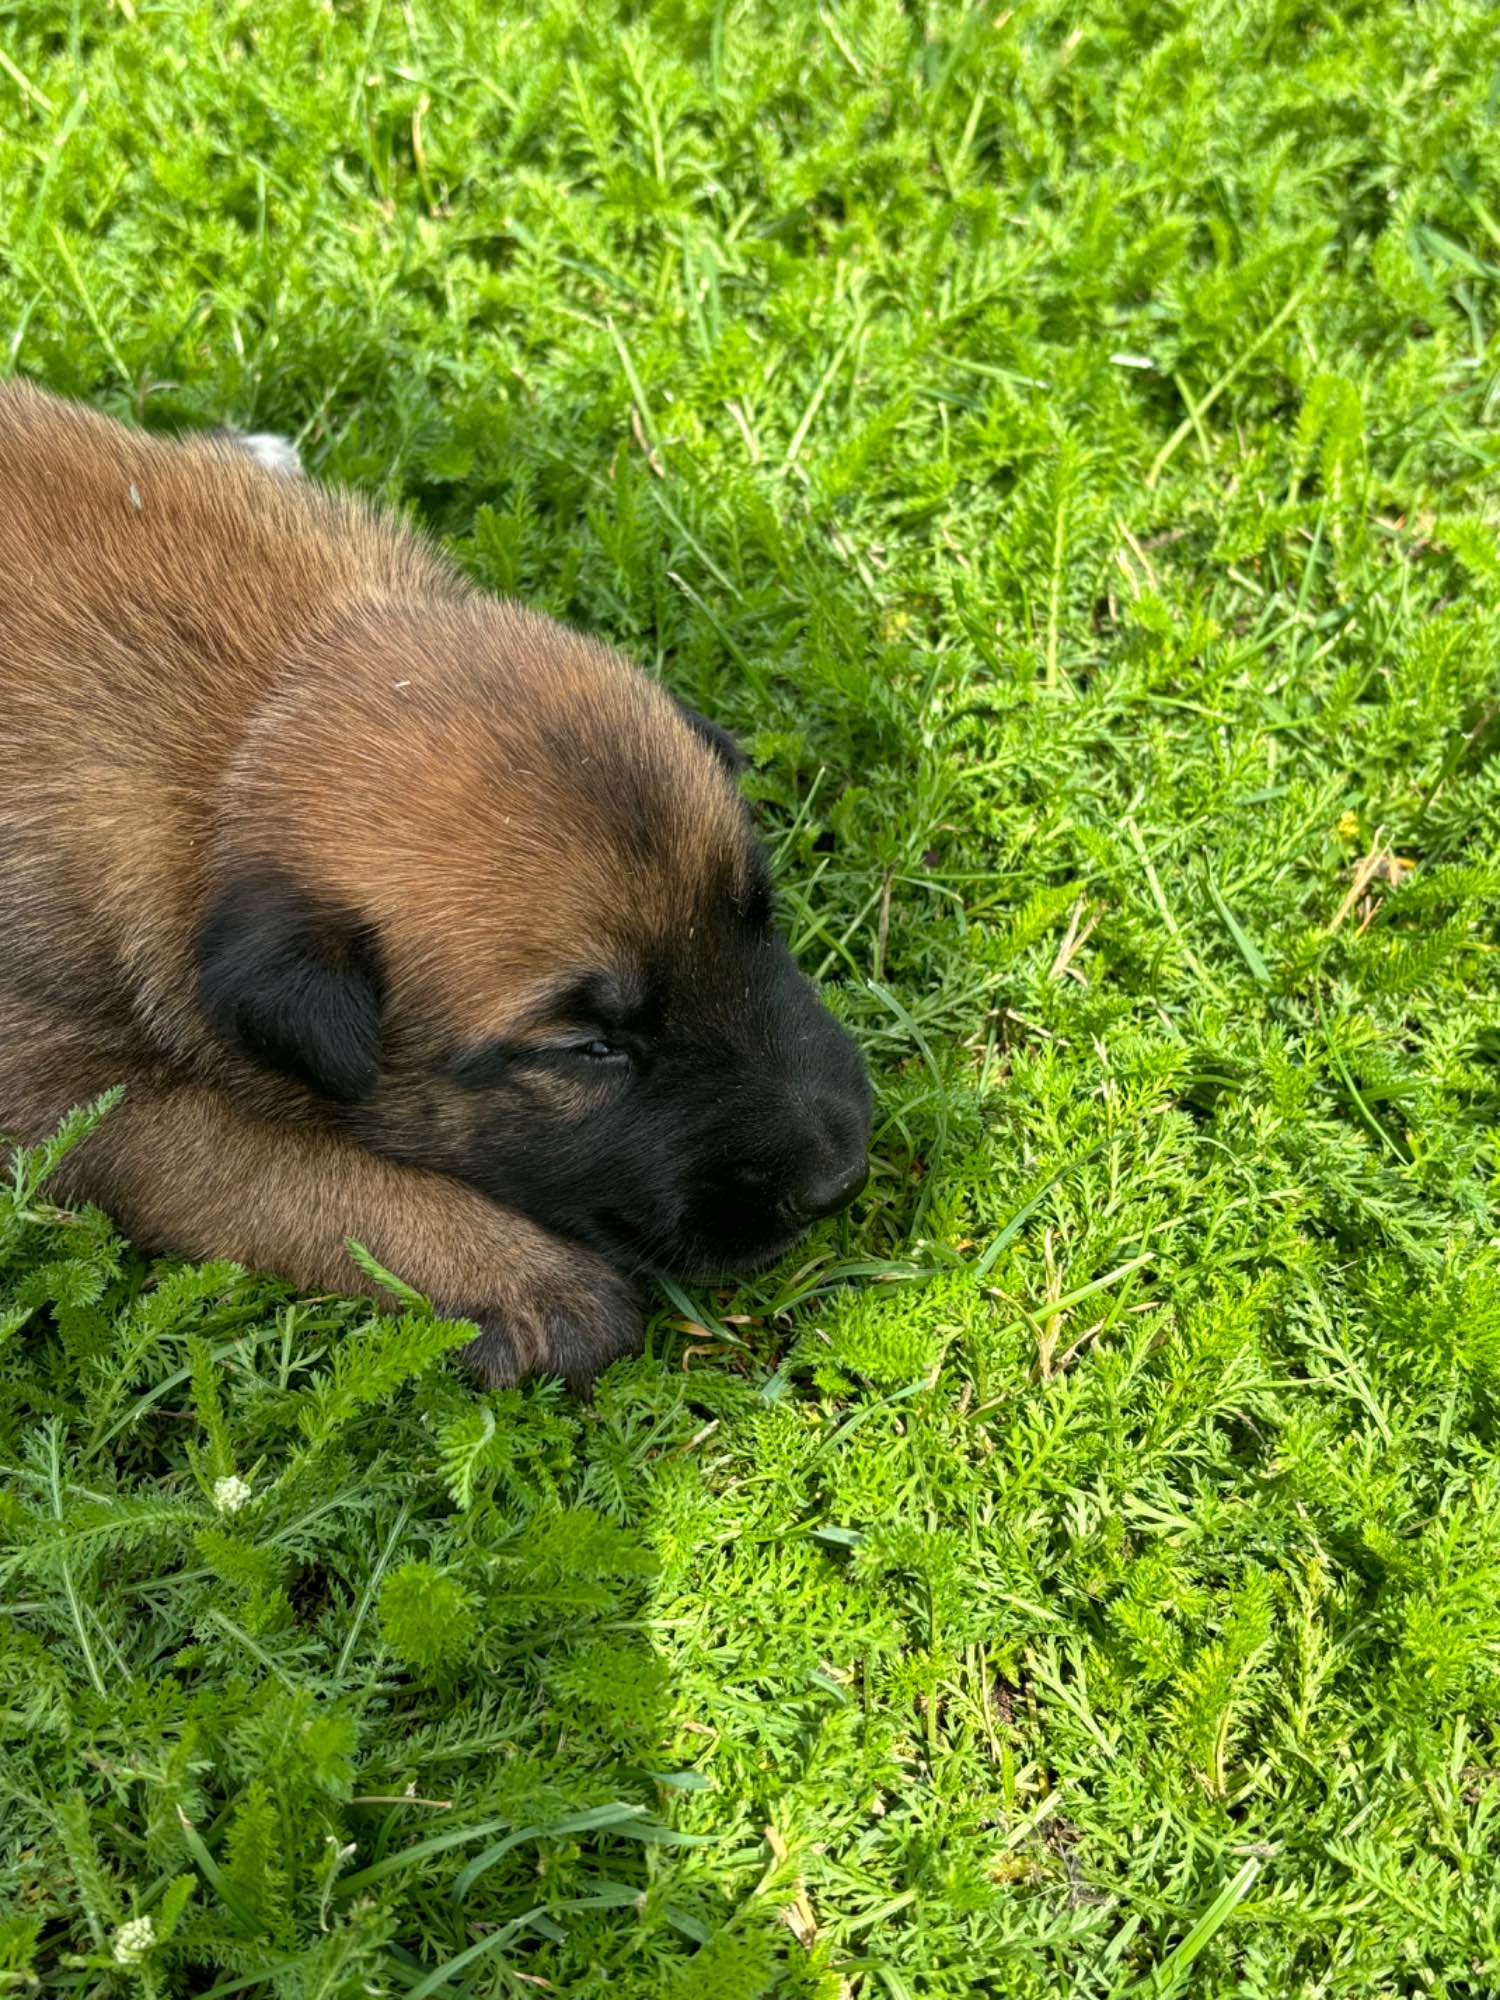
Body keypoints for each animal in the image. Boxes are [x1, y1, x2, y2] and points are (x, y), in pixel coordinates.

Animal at [0, 382, 876, 1384]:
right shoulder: (61, 1086)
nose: (841, 1176)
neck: (248, 722)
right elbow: (256, 1164)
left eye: (758, 917)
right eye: (588, 1049)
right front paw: (523, 1275)